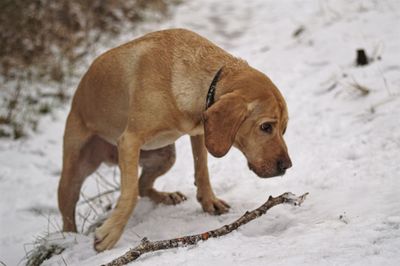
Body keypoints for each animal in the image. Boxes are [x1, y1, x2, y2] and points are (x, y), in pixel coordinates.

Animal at [57, 29, 292, 251]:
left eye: (284, 128)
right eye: (266, 127)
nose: (287, 166)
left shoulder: (200, 132)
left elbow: (202, 170)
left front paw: (209, 201)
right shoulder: (129, 140)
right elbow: (129, 194)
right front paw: (110, 233)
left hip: (165, 157)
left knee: (143, 185)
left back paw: (166, 196)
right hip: (74, 173)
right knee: (70, 211)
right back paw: (68, 240)